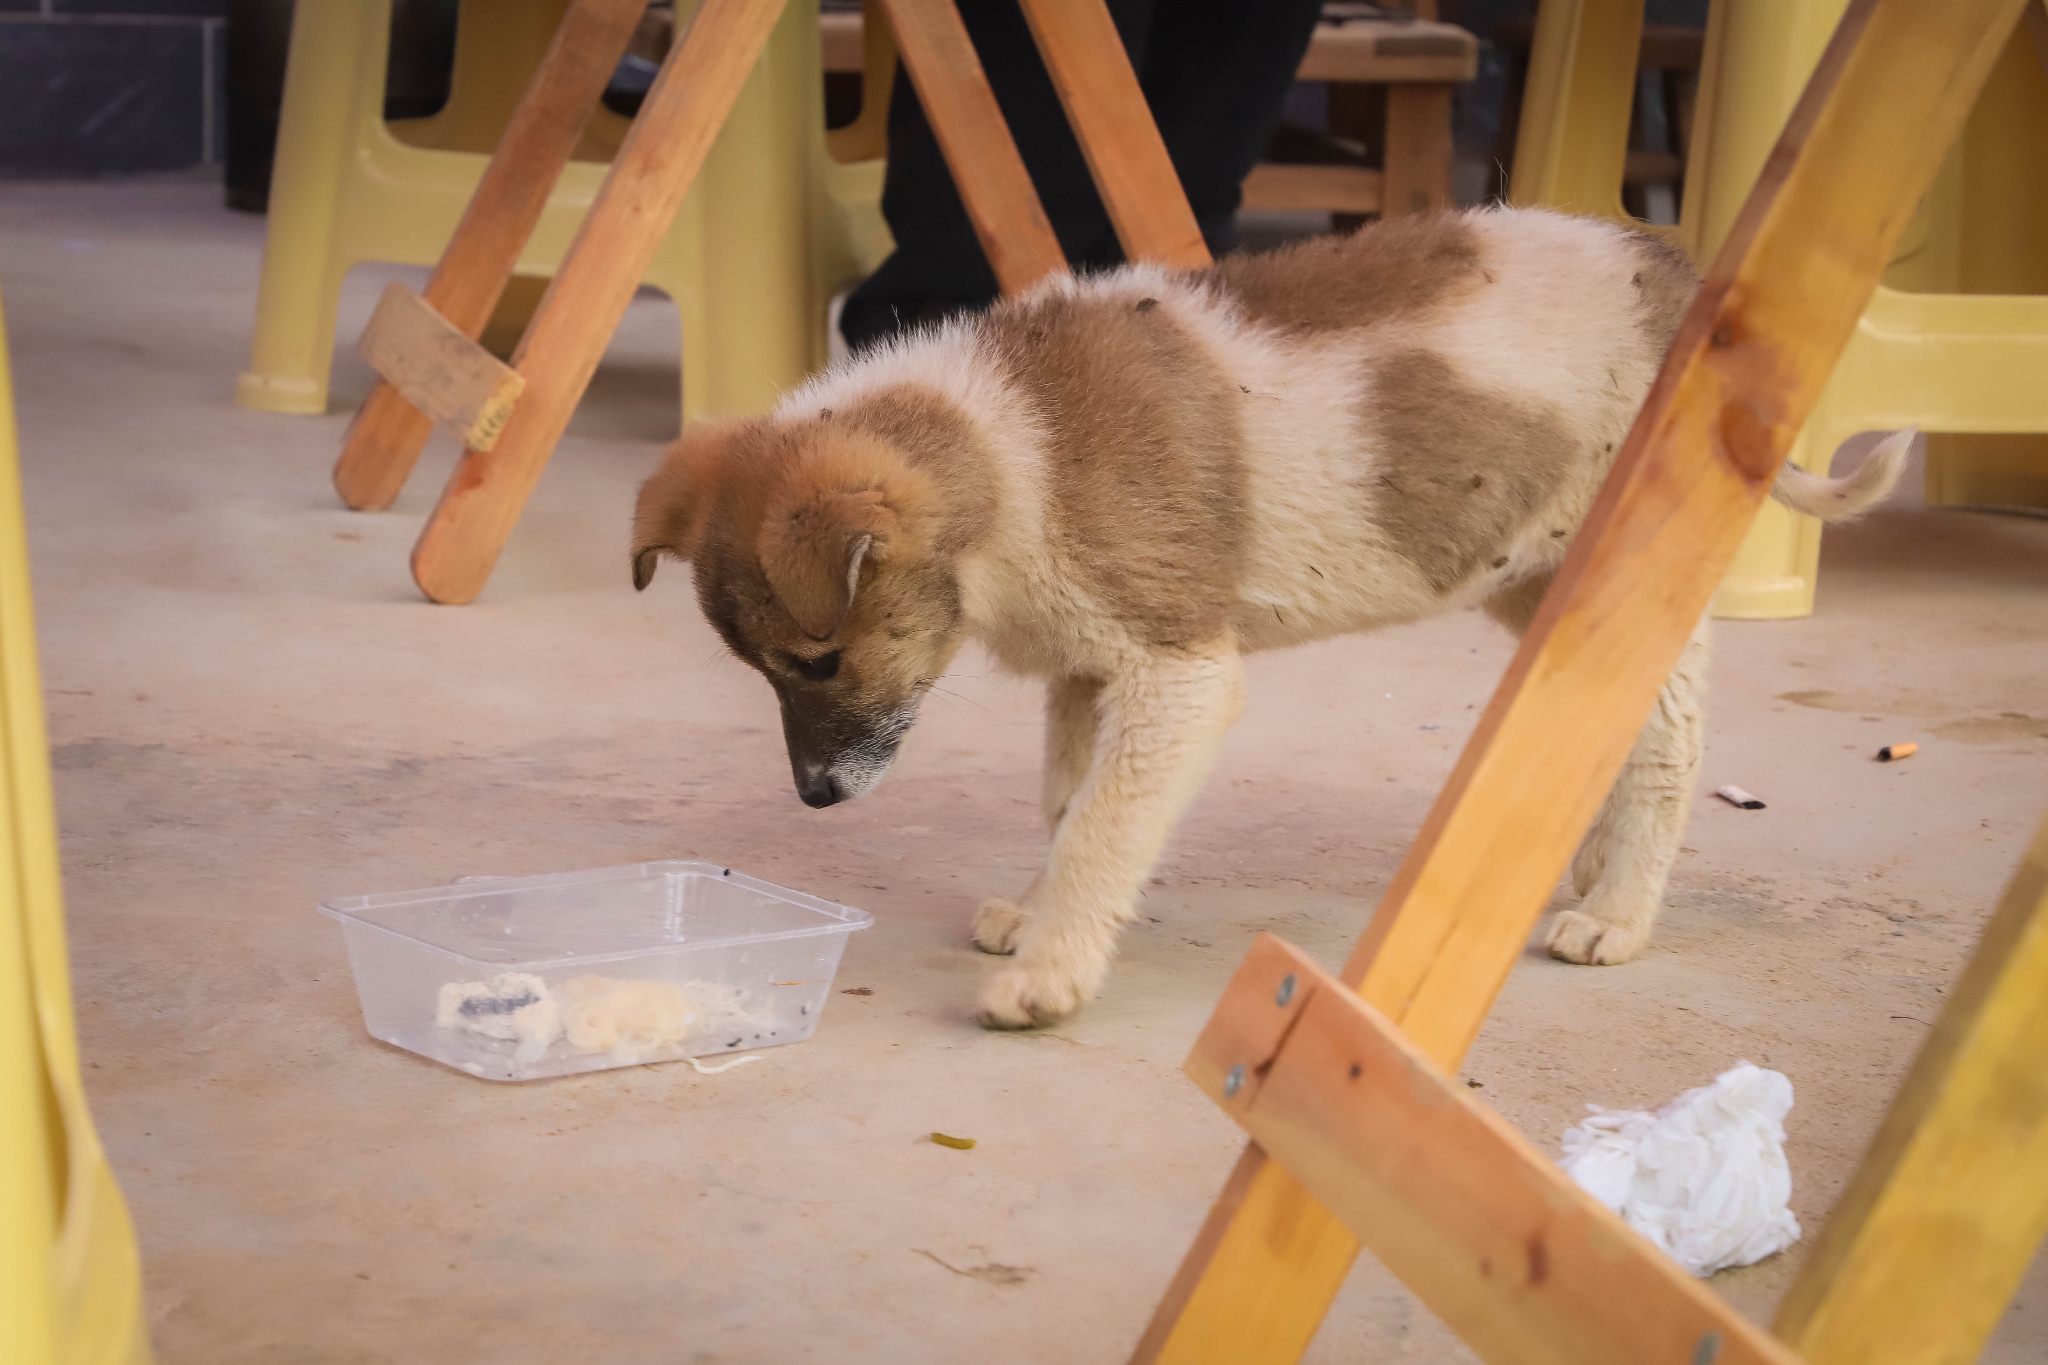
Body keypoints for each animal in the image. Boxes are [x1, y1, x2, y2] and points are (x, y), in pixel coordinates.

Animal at [630, 208, 1908, 1031]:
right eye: (767, 672)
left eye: (817, 659)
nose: (813, 799)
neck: (1012, 444)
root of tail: (1679, 276)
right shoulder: (1089, 675)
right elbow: (1066, 809)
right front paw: (1038, 921)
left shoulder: (1178, 673)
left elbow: (1101, 830)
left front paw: (1048, 976)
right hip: (1532, 584)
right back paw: (1584, 877)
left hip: (1624, 580)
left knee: (1663, 748)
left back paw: (1617, 919)